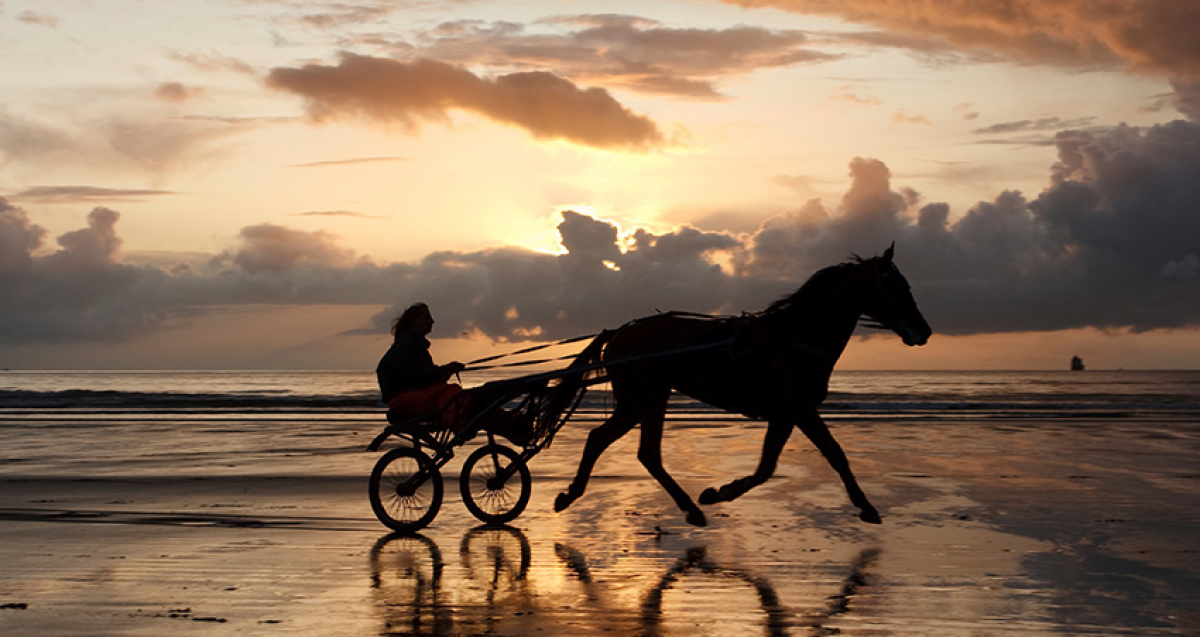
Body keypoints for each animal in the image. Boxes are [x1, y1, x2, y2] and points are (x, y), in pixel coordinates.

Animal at [549, 244, 931, 527]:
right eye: (897, 288)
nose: (923, 330)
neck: (795, 336)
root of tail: (620, 332)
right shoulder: (799, 408)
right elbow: (833, 454)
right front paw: (866, 506)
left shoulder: (786, 414)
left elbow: (767, 468)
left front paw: (720, 492)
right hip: (650, 398)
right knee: (647, 453)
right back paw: (690, 509)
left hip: (634, 403)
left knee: (599, 439)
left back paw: (572, 494)